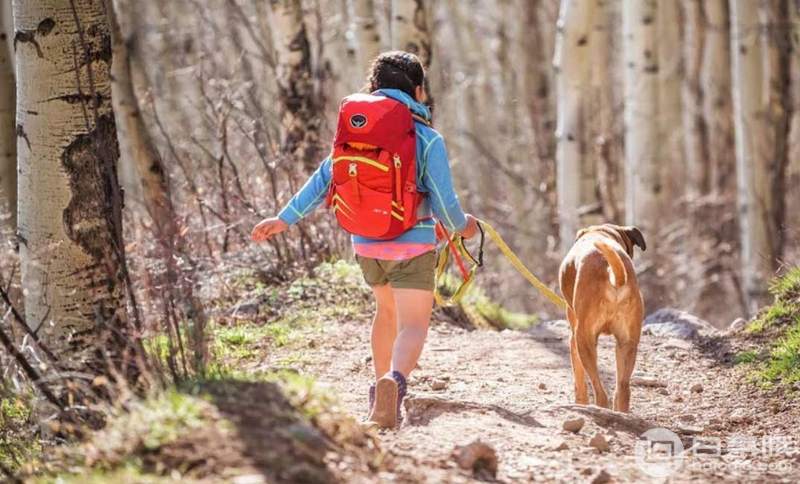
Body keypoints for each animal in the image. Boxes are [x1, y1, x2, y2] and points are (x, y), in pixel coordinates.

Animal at [560, 224, 648, 412]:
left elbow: (579, 381)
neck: (601, 232)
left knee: (600, 392)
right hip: (626, 345)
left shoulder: (573, 339)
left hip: (584, 340)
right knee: (622, 391)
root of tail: (610, 271)